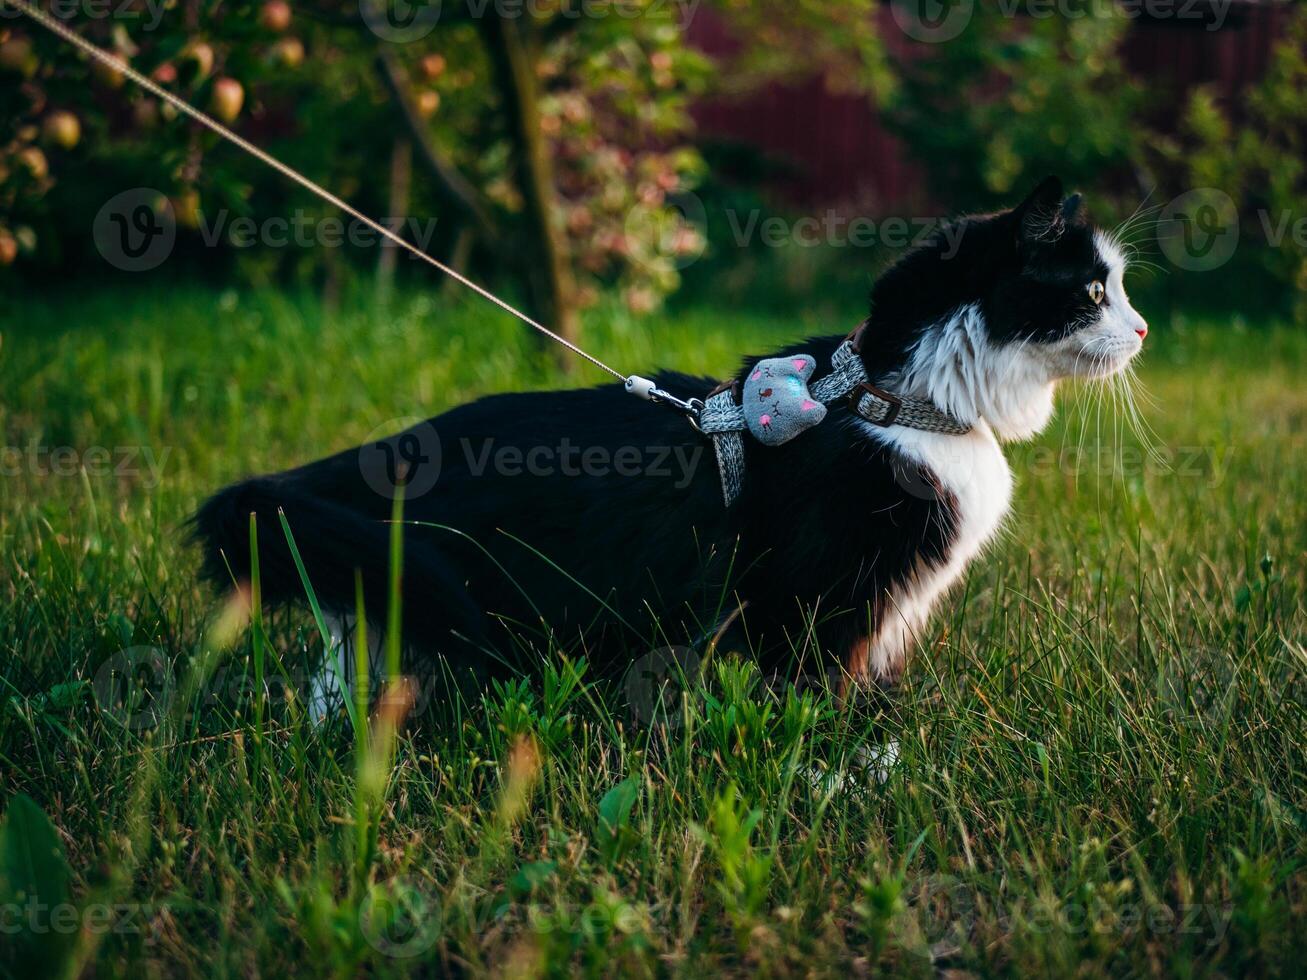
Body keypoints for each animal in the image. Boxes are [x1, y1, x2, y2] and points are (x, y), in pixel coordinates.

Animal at [190, 175, 1144, 716]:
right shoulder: (820, 601)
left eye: (1118, 289)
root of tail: (387, 448)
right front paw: (846, 769)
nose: (1139, 329)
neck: (898, 399)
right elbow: (825, 698)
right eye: (1094, 291)